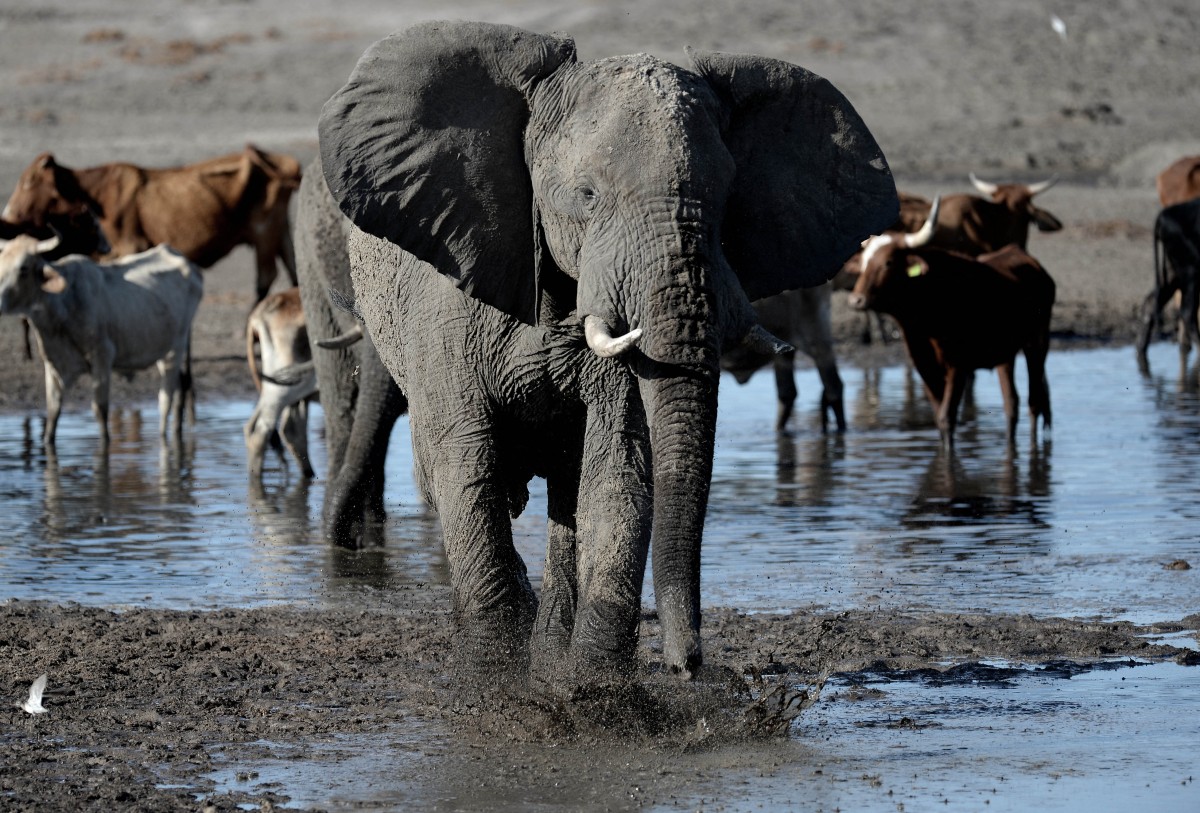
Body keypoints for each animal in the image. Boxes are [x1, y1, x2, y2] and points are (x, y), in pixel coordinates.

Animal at [2, 145, 302, 304]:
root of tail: (285, 163)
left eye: (28, 182)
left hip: (265, 231)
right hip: (281, 231)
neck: (95, 194)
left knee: (266, 277)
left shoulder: (130, 246)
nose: (8, 213)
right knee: (293, 268)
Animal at [314, 19, 897, 685]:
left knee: (570, 493)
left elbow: (618, 468)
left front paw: (593, 690)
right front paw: (492, 681)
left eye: (727, 200)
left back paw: (549, 654)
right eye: (586, 195)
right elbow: (468, 464)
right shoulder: (447, 310)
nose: (689, 663)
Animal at [849, 199, 1056, 453]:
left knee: (1034, 402)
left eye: (888, 262)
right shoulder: (924, 364)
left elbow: (947, 417)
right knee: (1011, 403)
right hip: (1005, 354)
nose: (856, 300)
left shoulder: (958, 364)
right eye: (863, 262)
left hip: (1037, 342)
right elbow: (939, 416)